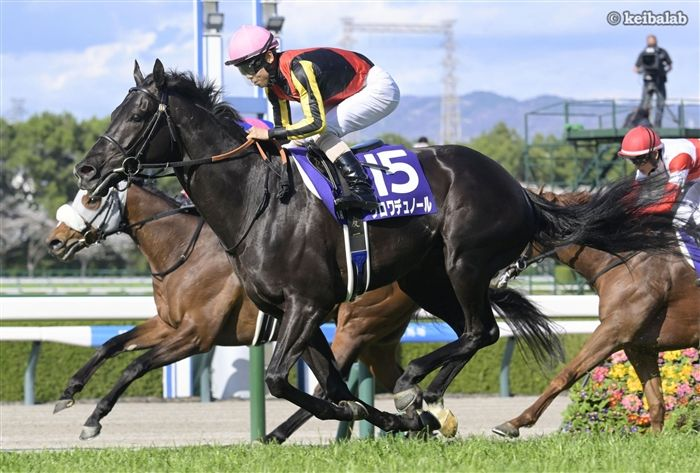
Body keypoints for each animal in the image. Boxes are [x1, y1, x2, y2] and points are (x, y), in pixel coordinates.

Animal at [46, 183, 417, 441]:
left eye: (91, 200)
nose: (55, 241)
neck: (183, 250)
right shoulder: (168, 324)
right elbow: (112, 345)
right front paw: (68, 393)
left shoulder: (197, 335)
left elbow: (134, 366)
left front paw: (93, 419)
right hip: (376, 340)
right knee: (393, 380)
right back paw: (415, 420)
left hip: (354, 327)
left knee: (331, 386)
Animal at [492, 191, 700, 437]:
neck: (623, 260)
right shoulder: (639, 345)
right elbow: (656, 400)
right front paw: (656, 438)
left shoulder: (613, 331)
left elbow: (566, 374)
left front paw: (514, 423)